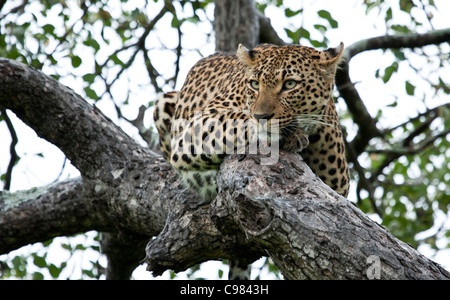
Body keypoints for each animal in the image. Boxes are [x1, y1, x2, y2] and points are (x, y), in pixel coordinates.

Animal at [153, 42, 350, 202]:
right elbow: (236, 120)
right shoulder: (199, 124)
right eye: (255, 84)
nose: (261, 117)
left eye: (290, 84)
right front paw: (293, 135)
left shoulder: (339, 187)